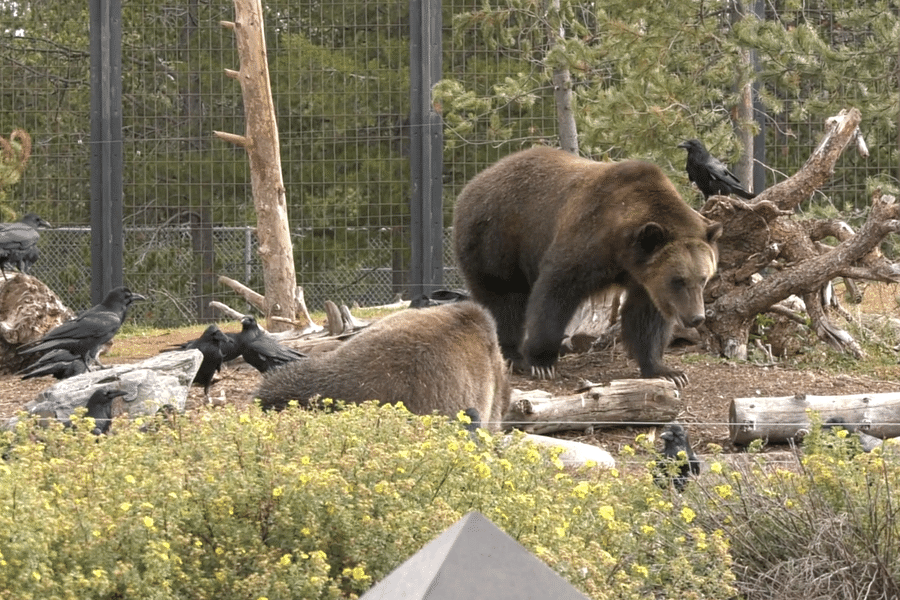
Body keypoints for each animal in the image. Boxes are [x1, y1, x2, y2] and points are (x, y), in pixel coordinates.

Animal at [452, 145, 722, 387]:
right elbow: (554, 293)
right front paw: (542, 361)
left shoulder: (643, 277)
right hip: (496, 237)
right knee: (504, 297)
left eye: (703, 279)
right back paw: (512, 355)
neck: (623, 249)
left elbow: (646, 319)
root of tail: (474, 182)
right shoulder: (588, 242)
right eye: (678, 280)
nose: (696, 317)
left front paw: (667, 371)